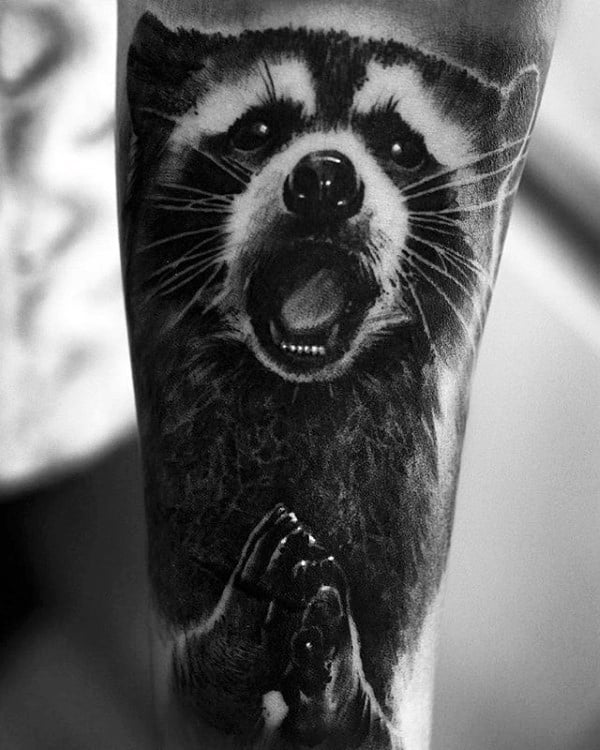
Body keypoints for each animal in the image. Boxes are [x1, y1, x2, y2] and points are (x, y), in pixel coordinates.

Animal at [124, 12, 538, 749]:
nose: (324, 179)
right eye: (256, 131)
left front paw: (342, 687)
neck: (297, 391)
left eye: (403, 147)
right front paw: (233, 641)